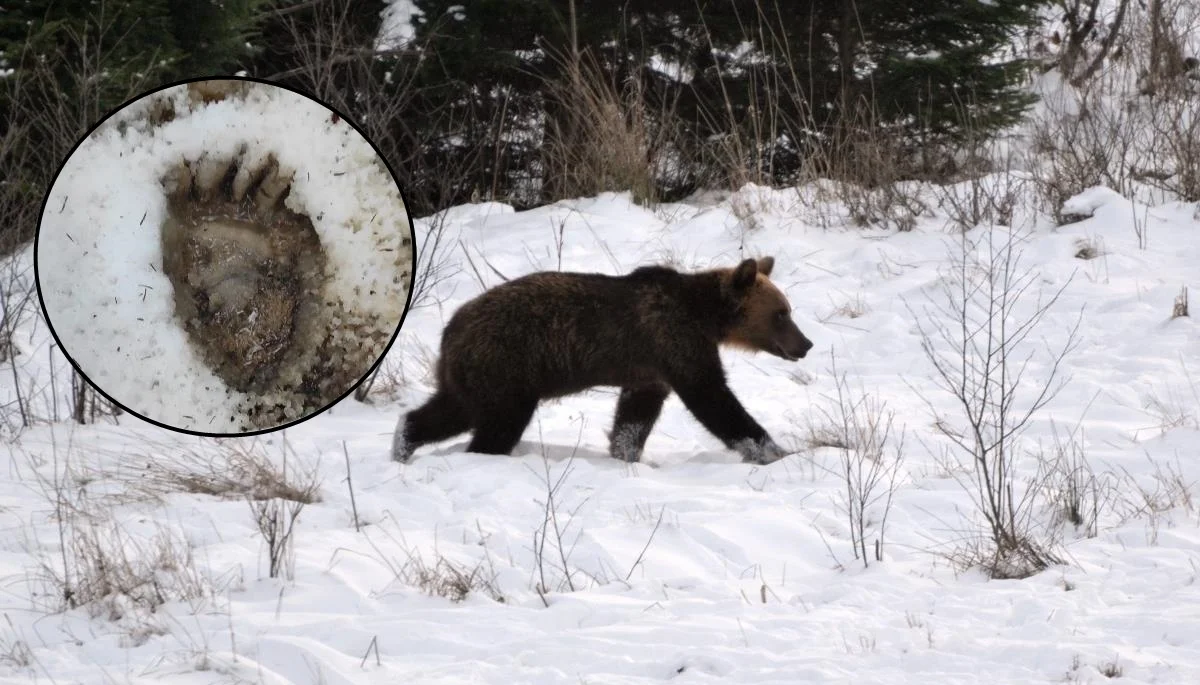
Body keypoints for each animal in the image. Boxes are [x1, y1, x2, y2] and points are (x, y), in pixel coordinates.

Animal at [393, 255, 816, 465]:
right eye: (781, 313)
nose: (806, 344)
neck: (706, 315)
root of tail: (451, 328)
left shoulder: (650, 370)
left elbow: (634, 416)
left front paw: (625, 454)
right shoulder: (675, 342)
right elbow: (714, 400)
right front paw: (774, 451)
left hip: (474, 374)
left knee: (449, 410)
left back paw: (403, 443)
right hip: (505, 366)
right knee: (497, 422)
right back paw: (484, 454)